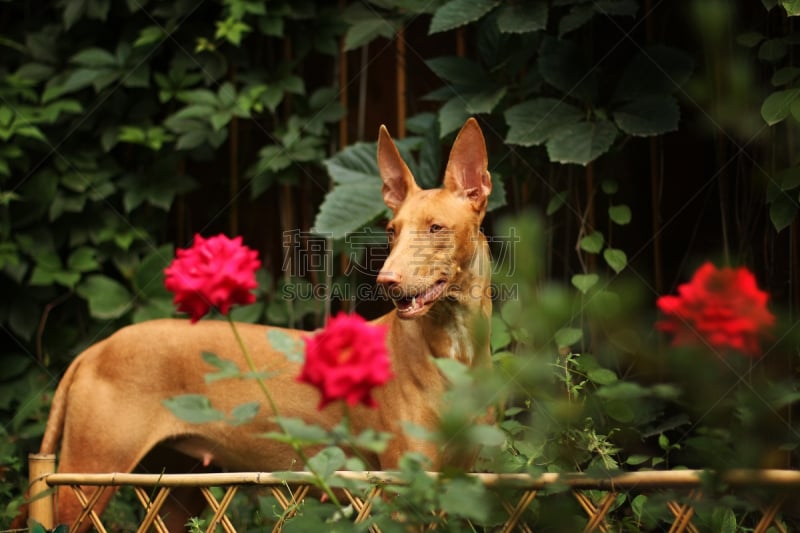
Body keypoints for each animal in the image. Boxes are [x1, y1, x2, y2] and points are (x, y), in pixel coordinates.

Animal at [34, 118, 494, 528]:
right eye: (391, 231)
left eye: (436, 228)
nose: (387, 281)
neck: (455, 351)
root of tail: (96, 350)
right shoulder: (403, 489)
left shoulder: (459, 486)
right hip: (87, 478)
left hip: (178, 490)